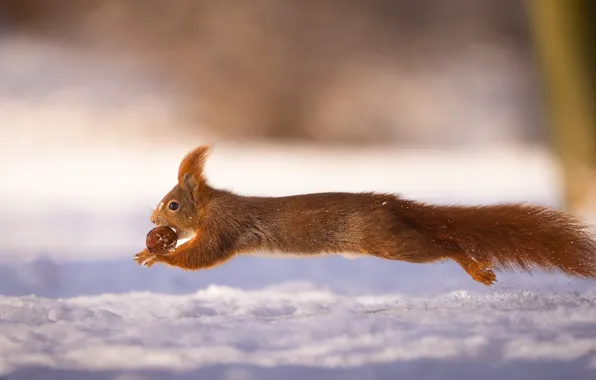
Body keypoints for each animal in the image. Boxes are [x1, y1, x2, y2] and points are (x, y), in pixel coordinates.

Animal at [133, 145, 596, 284]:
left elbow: (204, 255)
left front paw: (156, 254)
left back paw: (474, 267)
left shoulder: (224, 228)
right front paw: (153, 249)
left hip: (389, 242)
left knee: (444, 245)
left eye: (173, 204)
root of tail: (389, 203)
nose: (154, 223)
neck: (211, 205)